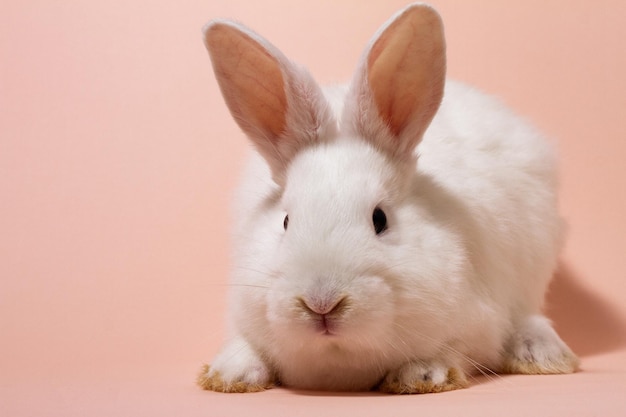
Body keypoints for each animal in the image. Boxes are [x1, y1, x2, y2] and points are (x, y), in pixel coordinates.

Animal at [197, 4, 576, 394]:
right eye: (286, 221)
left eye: (380, 219)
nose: (322, 303)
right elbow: (245, 346)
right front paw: (230, 375)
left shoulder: (479, 322)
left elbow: (452, 350)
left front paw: (422, 375)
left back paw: (541, 354)